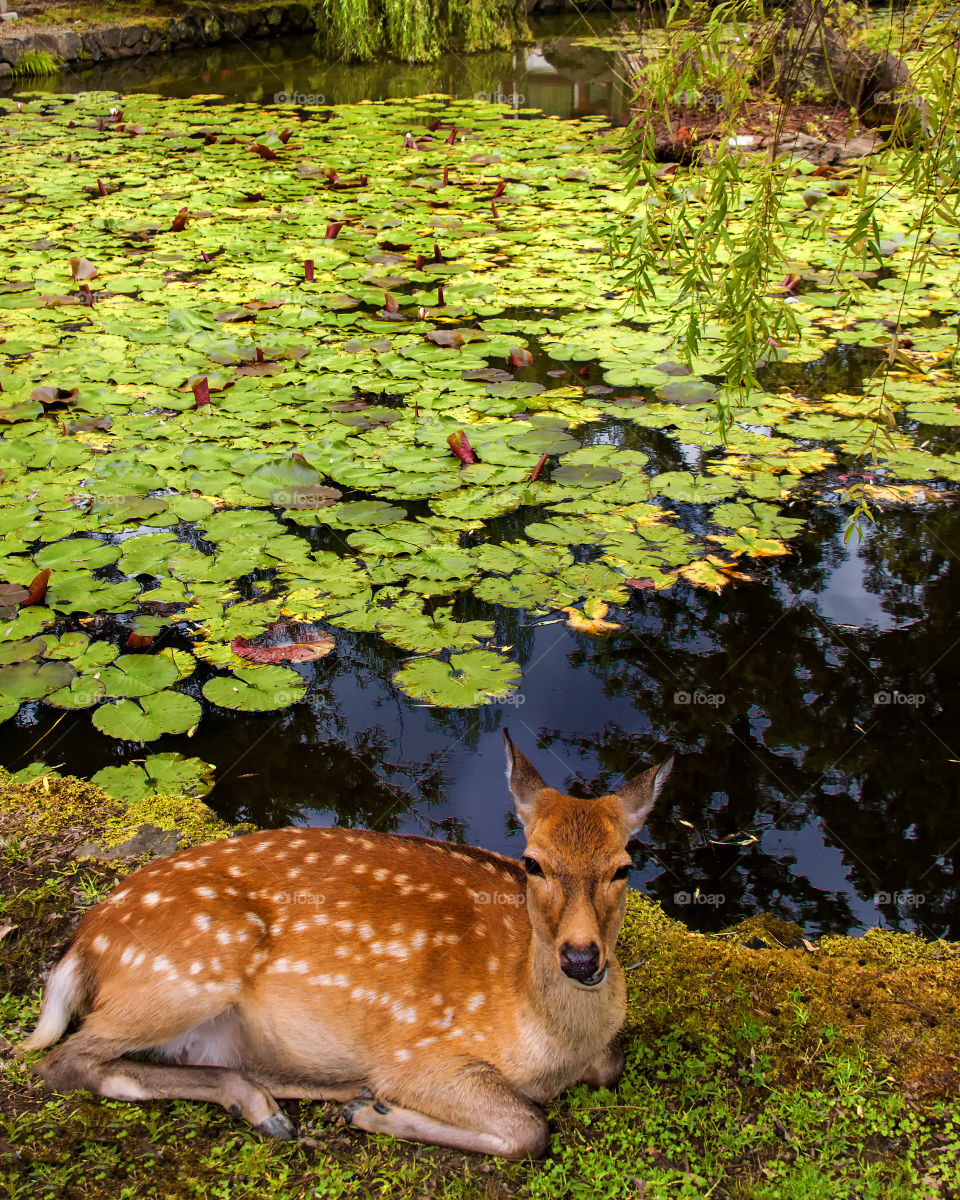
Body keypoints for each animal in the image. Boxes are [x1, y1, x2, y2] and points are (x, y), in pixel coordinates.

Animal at [21, 731, 673, 1160]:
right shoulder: (422, 1053)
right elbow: (530, 1130)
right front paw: (376, 1111)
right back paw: (287, 1104)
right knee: (64, 1060)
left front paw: (367, 1108)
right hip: (192, 965)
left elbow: (609, 1065)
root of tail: (83, 944)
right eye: (532, 863)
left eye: (624, 867)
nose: (581, 958)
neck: (546, 1045)